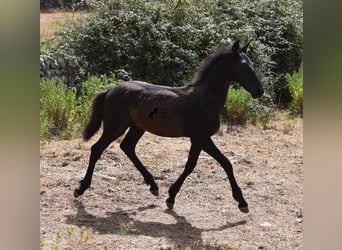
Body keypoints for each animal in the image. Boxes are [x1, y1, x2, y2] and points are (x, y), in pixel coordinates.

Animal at [73, 41, 264, 213]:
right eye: (243, 66)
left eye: (252, 64)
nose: (259, 91)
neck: (206, 98)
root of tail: (110, 91)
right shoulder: (202, 137)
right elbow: (226, 163)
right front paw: (242, 202)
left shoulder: (197, 139)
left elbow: (190, 165)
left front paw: (171, 197)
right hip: (115, 127)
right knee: (97, 149)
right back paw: (80, 189)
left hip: (137, 127)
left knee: (127, 147)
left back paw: (153, 186)